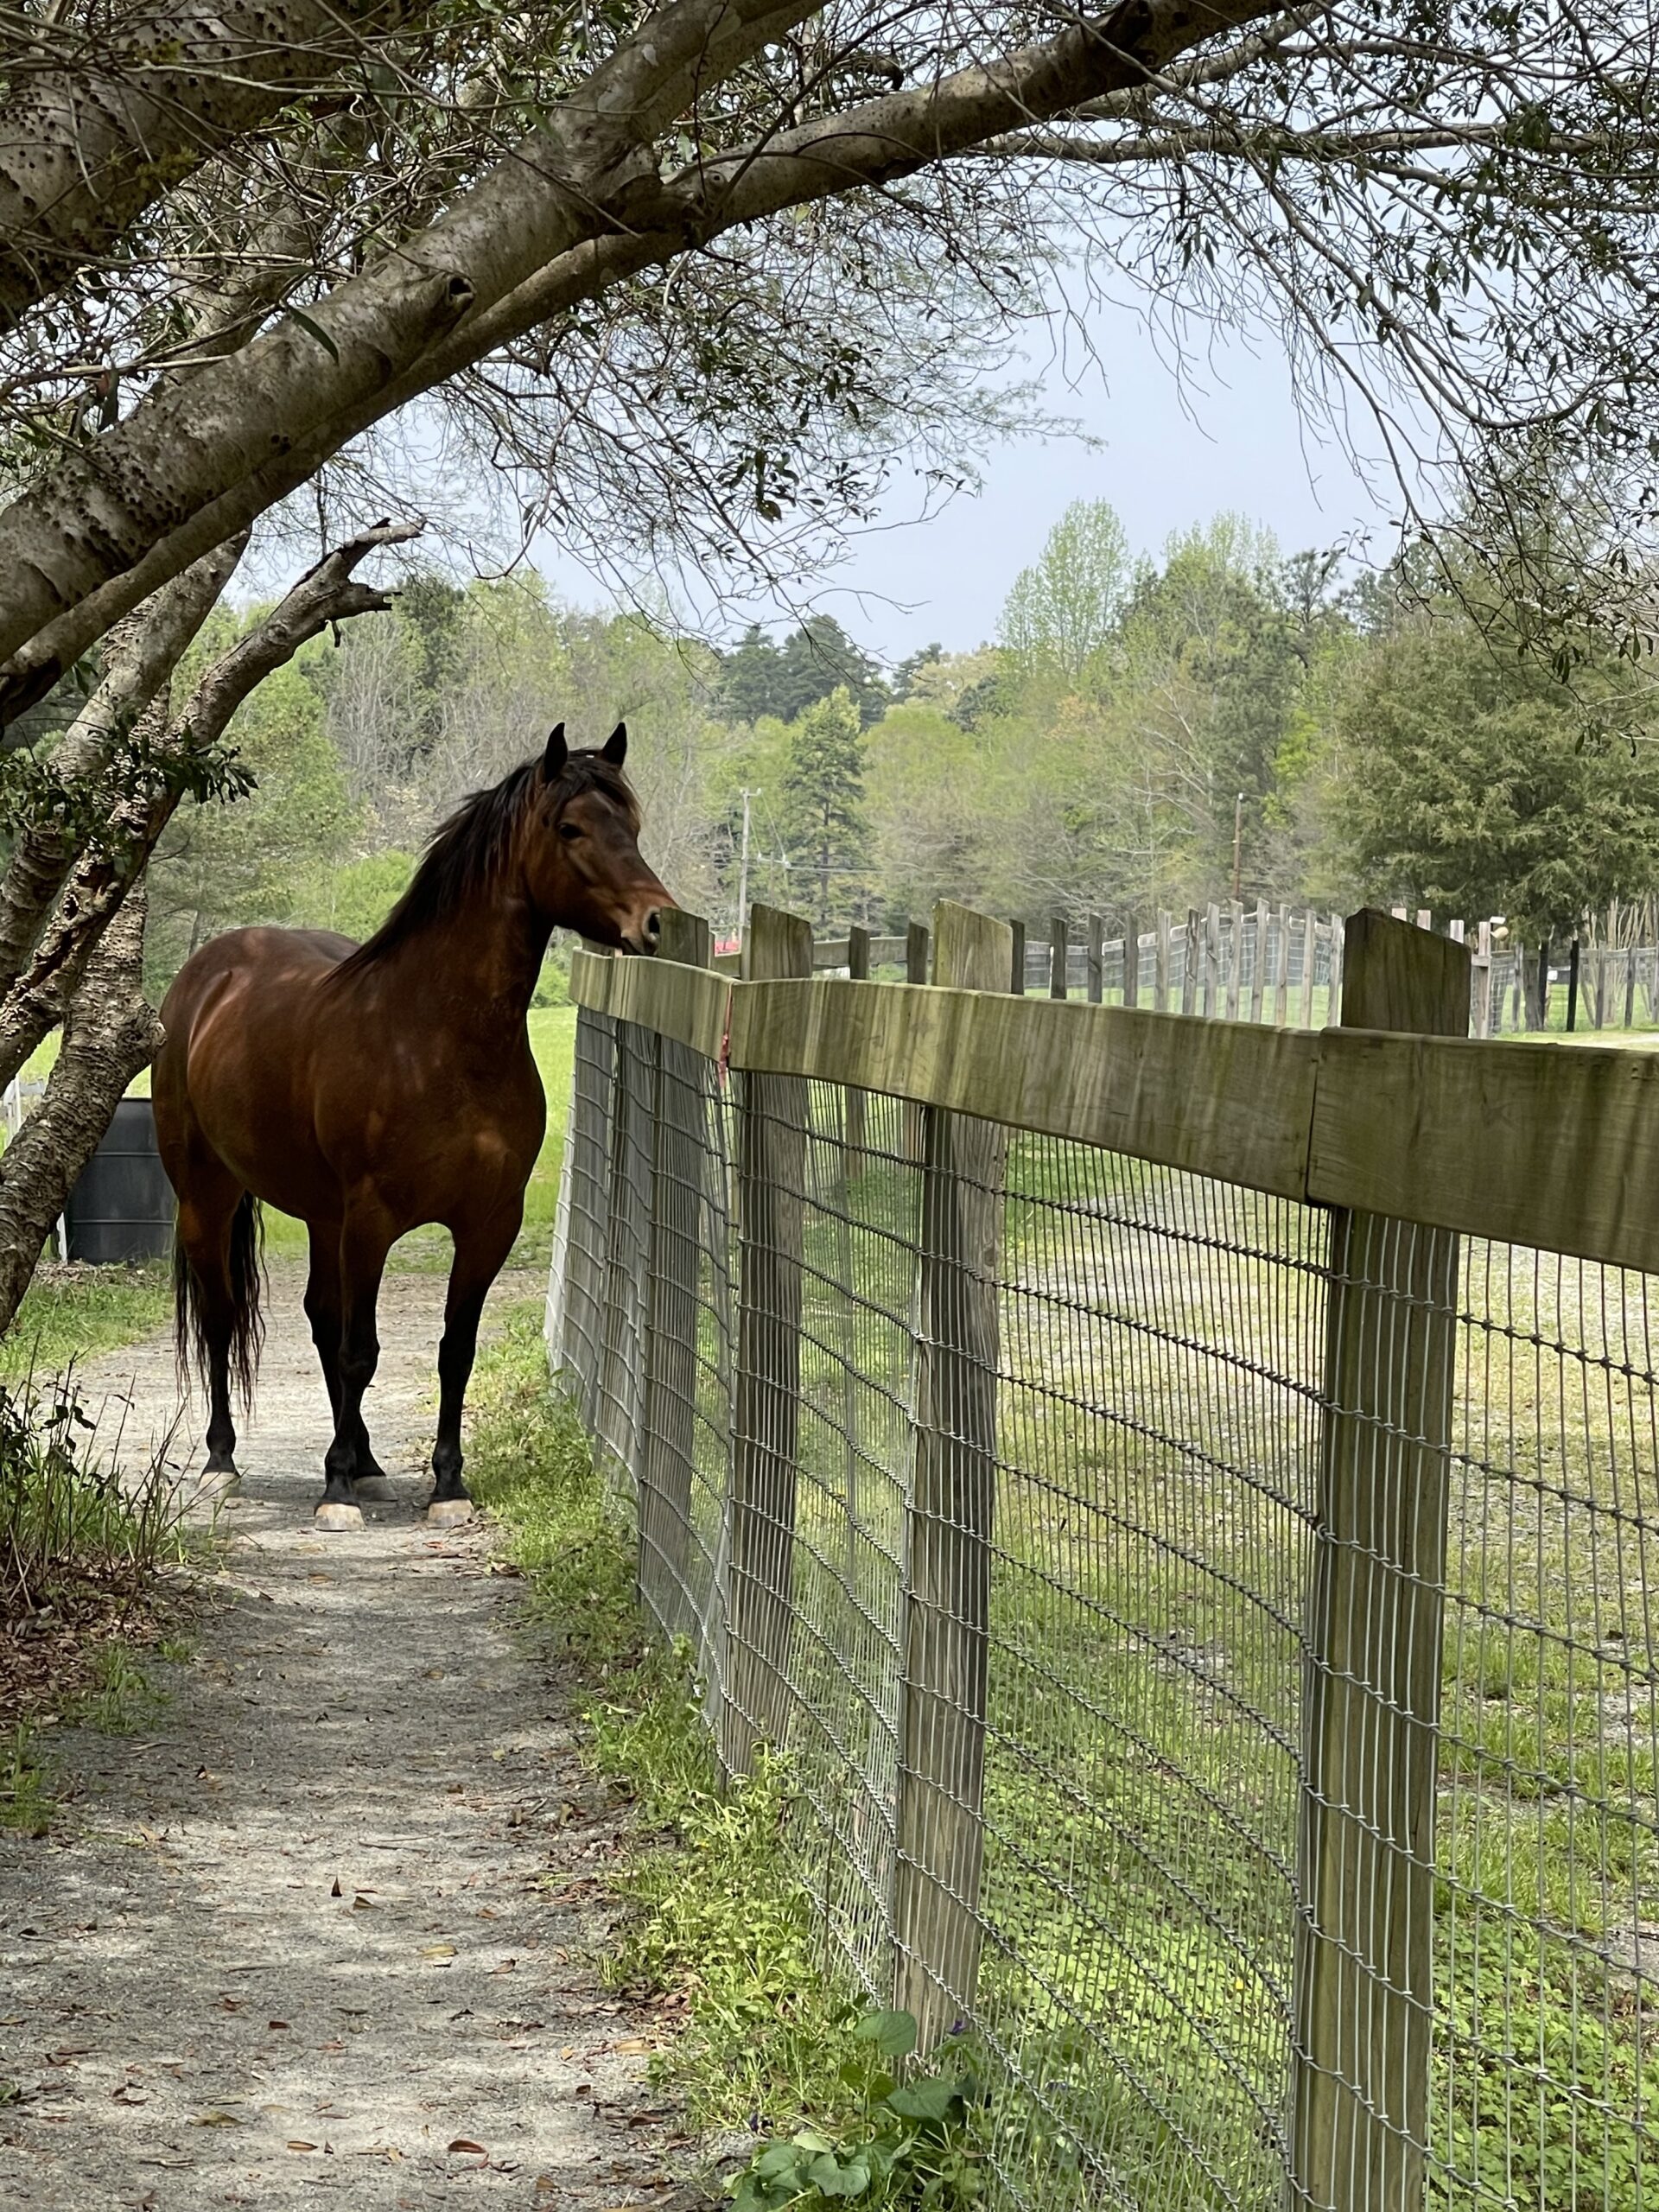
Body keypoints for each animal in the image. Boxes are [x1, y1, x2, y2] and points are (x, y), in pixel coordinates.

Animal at [152, 725, 672, 1522]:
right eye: (571, 827)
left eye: (633, 825)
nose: (655, 919)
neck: (435, 1040)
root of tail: (206, 974)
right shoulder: (372, 1220)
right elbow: (359, 1350)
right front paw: (335, 1490)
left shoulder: (488, 1224)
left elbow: (452, 1350)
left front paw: (446, 1484)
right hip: (206, 1199)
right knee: (223, 1315)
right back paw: (222, 1460)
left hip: (322, 1216)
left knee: (319, 1316)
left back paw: (365, 1459)